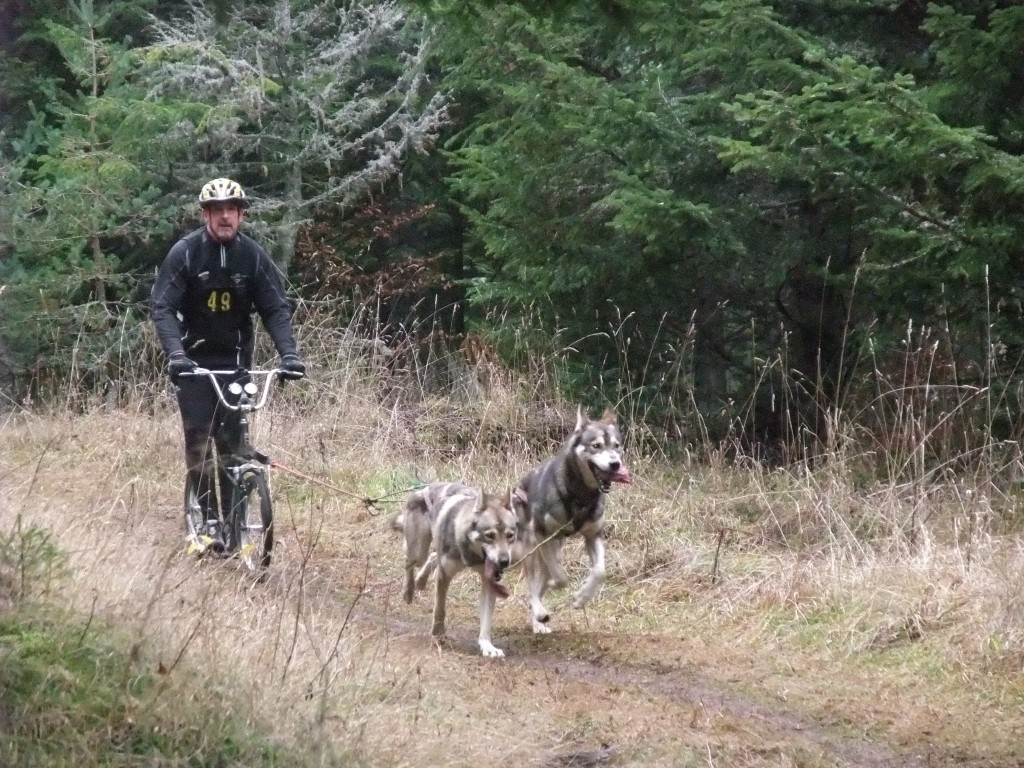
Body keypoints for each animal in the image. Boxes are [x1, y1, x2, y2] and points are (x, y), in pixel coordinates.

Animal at [395, 483, 524, 659]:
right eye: (490, 535)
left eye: (510, 535)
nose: (504, 562)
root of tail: (425, 487)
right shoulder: (444, 576)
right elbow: (440, 611)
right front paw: (437, 636)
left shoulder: (489, 583)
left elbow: (486, 621)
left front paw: (488, 647)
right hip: (418, 553)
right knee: (409, 562)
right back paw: (408, 591)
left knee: (432, 557)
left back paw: (420, 581)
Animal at [512, 409, 630, 638]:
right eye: (596, 446)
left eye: (617, 446)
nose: (615, 464)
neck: (581, 496)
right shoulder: (541, 535)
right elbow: (560, 578)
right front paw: (559, 587)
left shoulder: (593, 536)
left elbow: (600, 571)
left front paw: (581, 598)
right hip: (532, 546)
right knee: (531, 585)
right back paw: (539, 611)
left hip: (554, 547)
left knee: (541, 580)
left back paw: (538, 622)